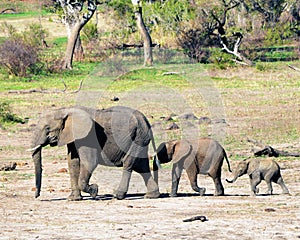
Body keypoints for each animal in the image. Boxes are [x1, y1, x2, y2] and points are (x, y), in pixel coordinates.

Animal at [30, 106, 161, 200]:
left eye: (47, 128)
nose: (37, 196)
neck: (64, 110)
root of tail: (145, 120)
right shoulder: (73, 137)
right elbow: (72, 163)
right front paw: (73, 199)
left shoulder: (88, 138)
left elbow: (89, 162)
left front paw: (94, 191)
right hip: (141, 138)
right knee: (142, 166)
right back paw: (151, 195)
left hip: (137, 138)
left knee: (129, 164)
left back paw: (118, 195)